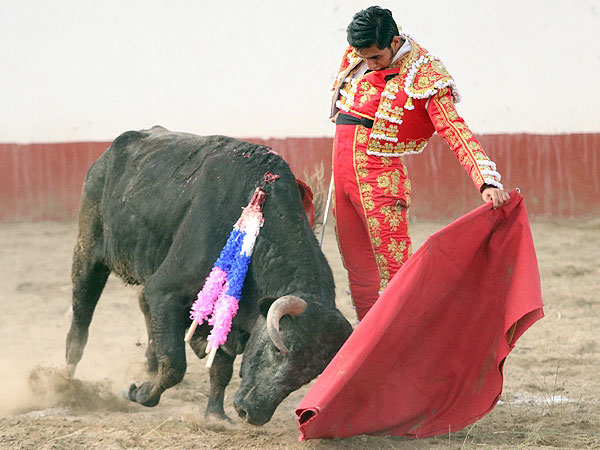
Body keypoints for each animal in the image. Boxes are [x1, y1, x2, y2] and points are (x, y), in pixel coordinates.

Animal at [66, 126, 354, 426]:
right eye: (278, 349)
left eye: (309, 375)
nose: (252, 413)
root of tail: (108, 154)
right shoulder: (165, 291)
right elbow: (174, 364)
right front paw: (139, 393)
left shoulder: (229, 314)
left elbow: (220, 368)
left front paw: (215, 415)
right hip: (88, 251)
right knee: (81, 318)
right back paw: (65, 384)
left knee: (143, 307)